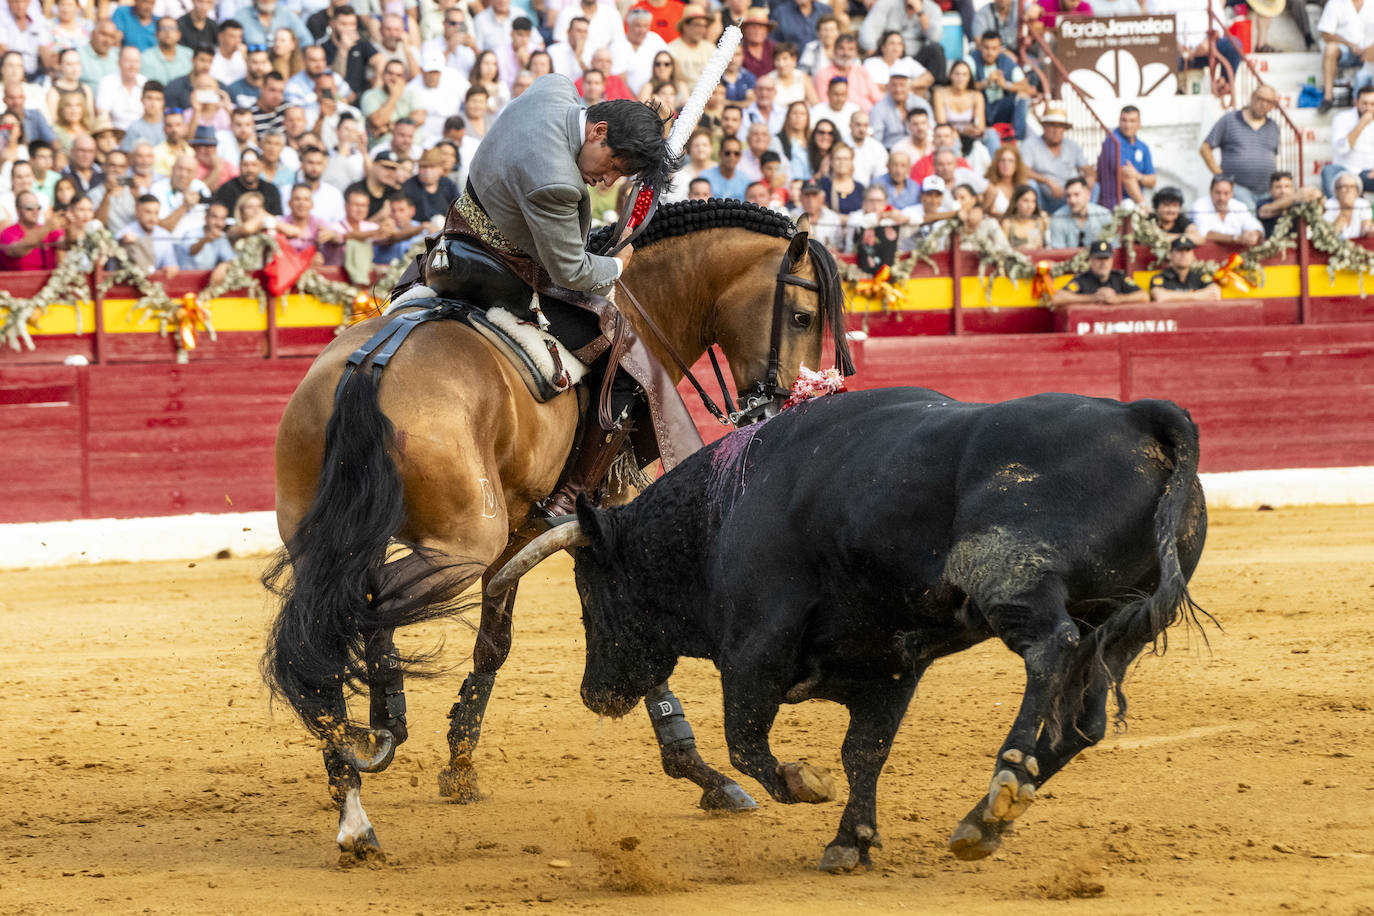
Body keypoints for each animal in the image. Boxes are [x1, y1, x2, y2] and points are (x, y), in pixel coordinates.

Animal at [262, 199, 851, 862]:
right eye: (802, 316)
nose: (786, 405)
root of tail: (371, 366)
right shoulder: (605, 511)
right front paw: (705, 775)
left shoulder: (524, 532)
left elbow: (493, 644)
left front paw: (460, 764)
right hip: (460, 545)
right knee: (362, 610)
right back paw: (381, 735)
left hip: (329, 541)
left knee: (326, 633)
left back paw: (355, 797)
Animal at [489, 387, 1209, 873]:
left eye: (591, 591)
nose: (594, 693)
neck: (717, 519)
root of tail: (1139, 414)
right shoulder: (887, 666)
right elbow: (864, 751)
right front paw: (848, 841)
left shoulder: (753, 650)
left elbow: (746, 742)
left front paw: (804, 787)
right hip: (1114, 628)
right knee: (1084, 718)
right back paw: (985, 819)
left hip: (1010, 576)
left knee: (1049, 651)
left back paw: (1006, 779)